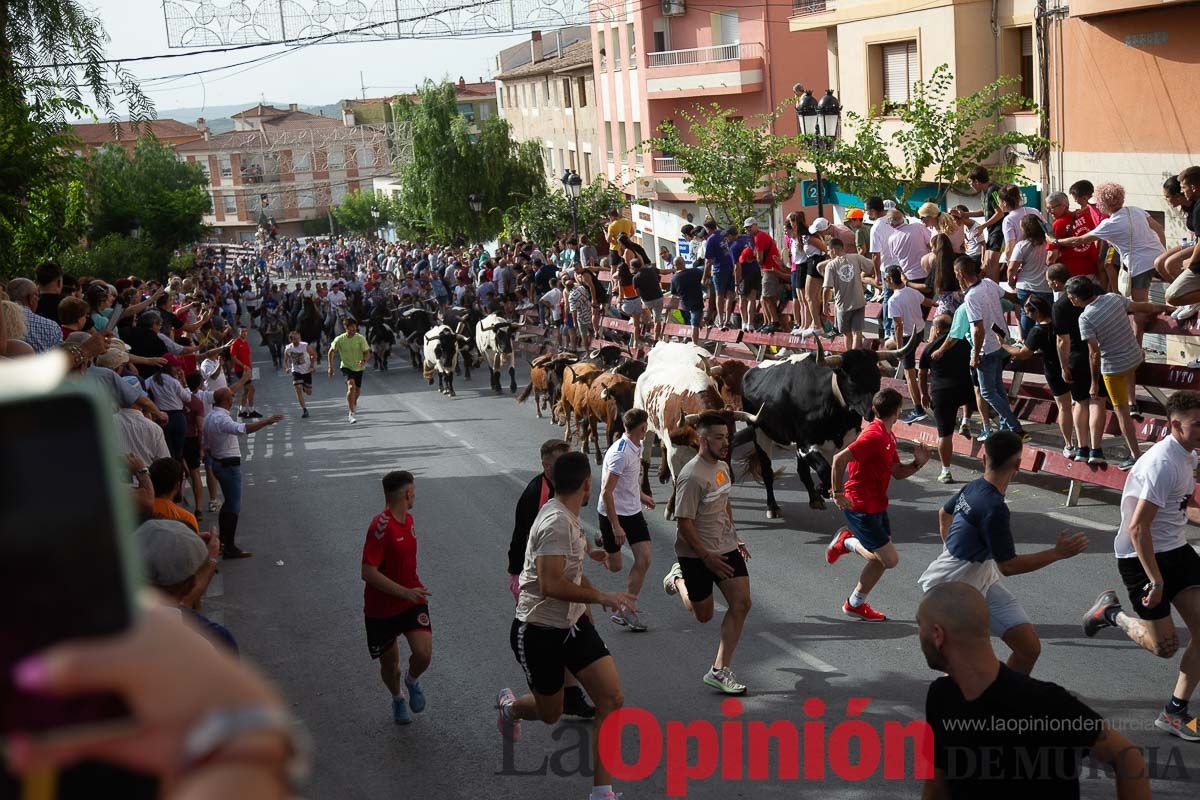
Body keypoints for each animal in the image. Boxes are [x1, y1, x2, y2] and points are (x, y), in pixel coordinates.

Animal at [739, 333, 916, 515]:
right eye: (852, 378)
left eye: (878, 376)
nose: (872, 410)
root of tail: (750, 371)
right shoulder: (806, 445)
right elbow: (825, 470)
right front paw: (823, 489)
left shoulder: (840, 445)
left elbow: (831, 470)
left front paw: (821, 491)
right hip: (760, 433)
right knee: (767, 471)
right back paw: (773, 506)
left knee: (802, 471)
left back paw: (814, 499)